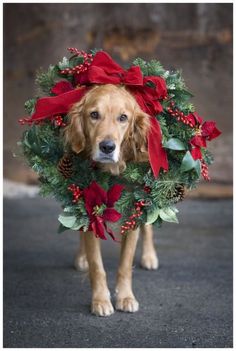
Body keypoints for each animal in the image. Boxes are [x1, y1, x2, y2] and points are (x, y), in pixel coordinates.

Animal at [64, 84, 159, 318]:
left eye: (123, 118)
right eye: (94, 115)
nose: (107, 147)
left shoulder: (133, 213)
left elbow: (125, 264)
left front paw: (126, 297)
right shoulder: (89, 209)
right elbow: (96, 265)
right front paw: (100, 300)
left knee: (149, 227)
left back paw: (149, 256)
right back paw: (81, 258)